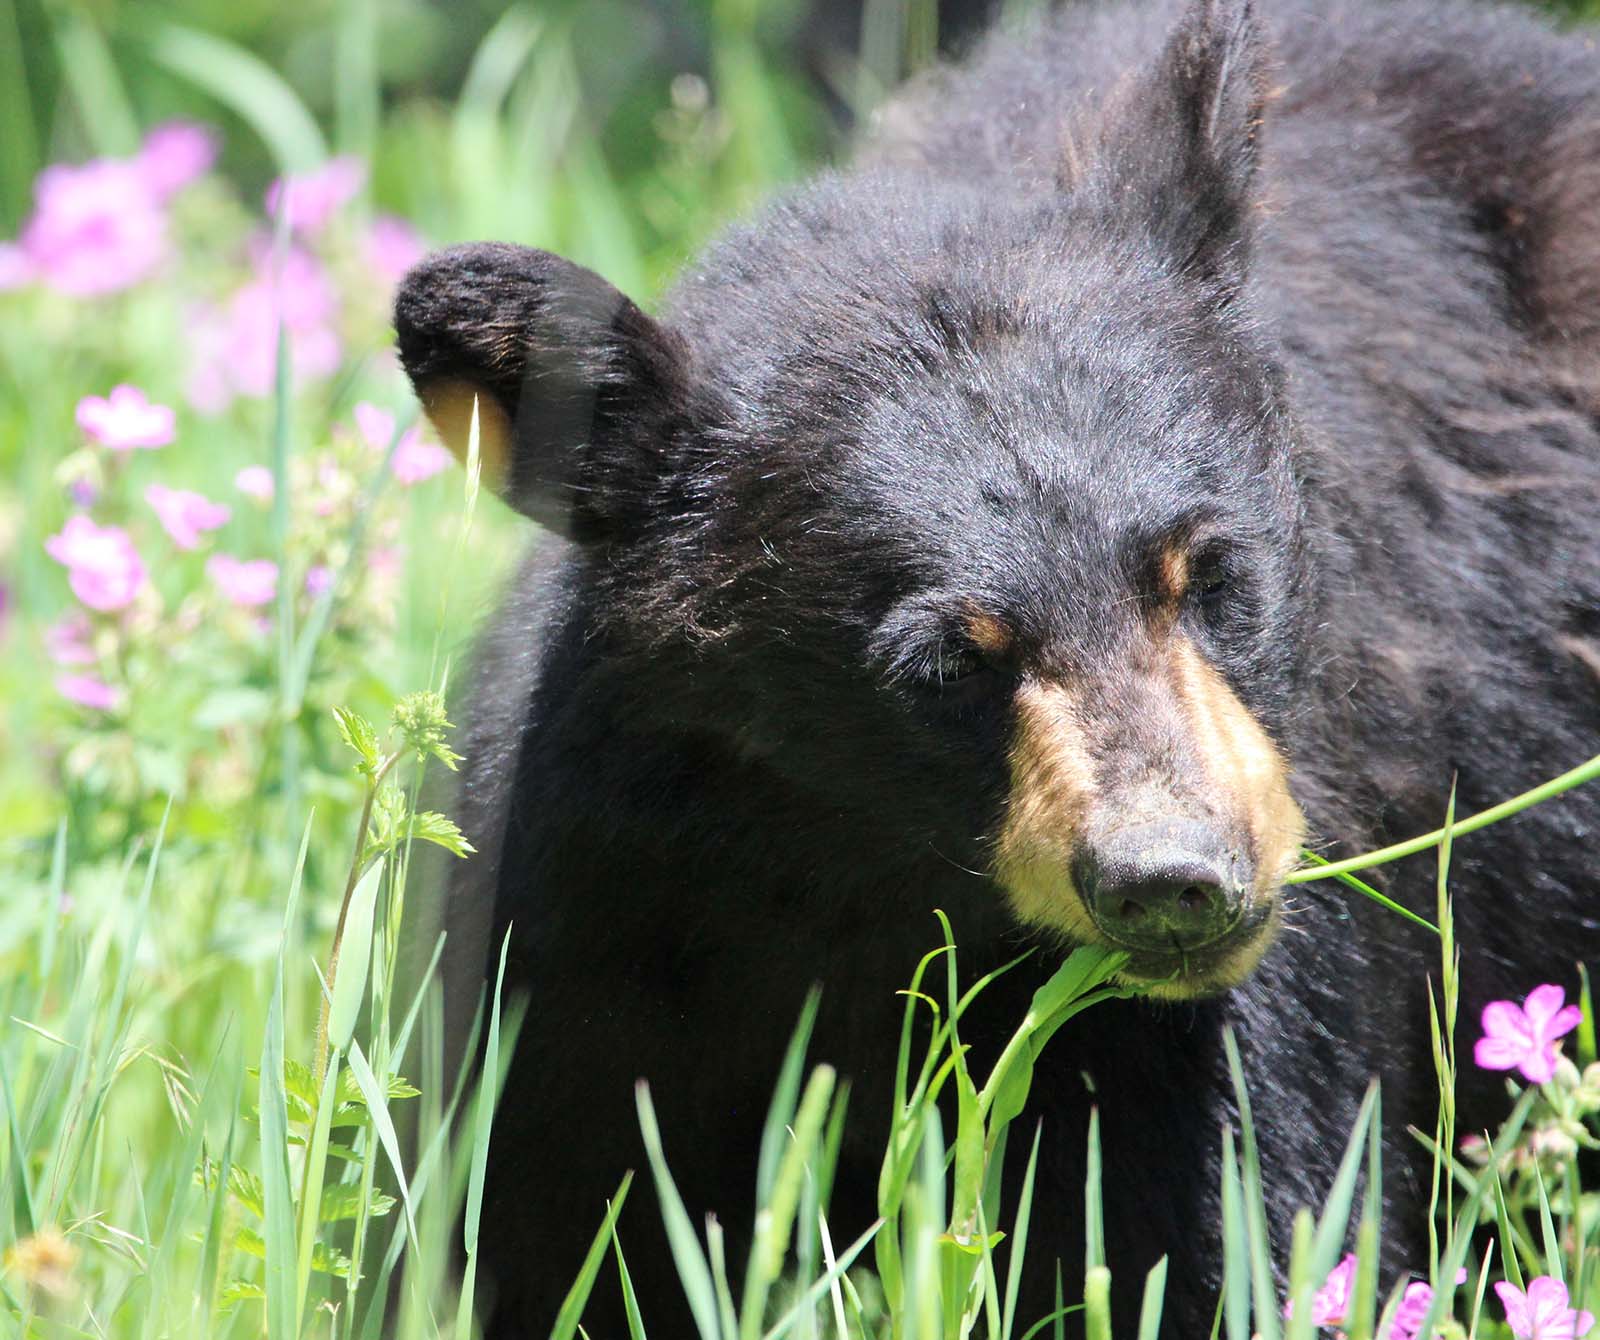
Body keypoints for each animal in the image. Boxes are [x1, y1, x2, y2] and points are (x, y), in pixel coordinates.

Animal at [393, 2, 1600, 1330]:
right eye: (948, 661)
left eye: (1209, 572)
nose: (1171, 878)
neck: (865, 891)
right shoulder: (591, 915)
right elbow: (540, 1212)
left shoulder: (1228, 1000)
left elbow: (1212, 1222)